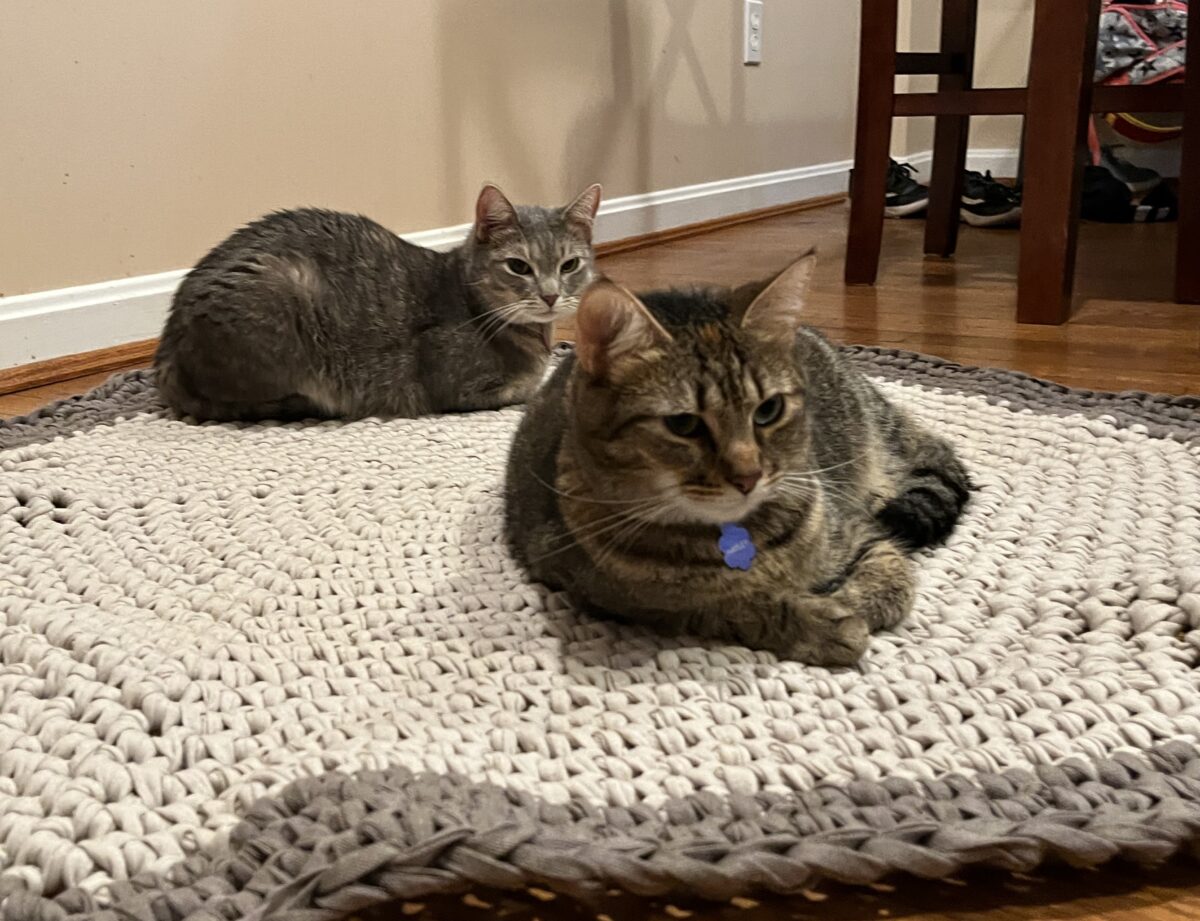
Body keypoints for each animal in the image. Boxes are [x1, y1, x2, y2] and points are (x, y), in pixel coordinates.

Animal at [156, 183, 604, 422]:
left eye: (569, 265)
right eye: (518, 266)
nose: (550, 294)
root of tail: (166, 348)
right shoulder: (461, 391)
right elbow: (530, 387)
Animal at [501, 251, 969, 666]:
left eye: (768, 410)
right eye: (683, 424)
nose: (749, 475)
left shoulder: (857, 533)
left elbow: (892, 582)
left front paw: (842, 599)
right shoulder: (615, 596)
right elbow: (733, 608)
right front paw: (820, 624)